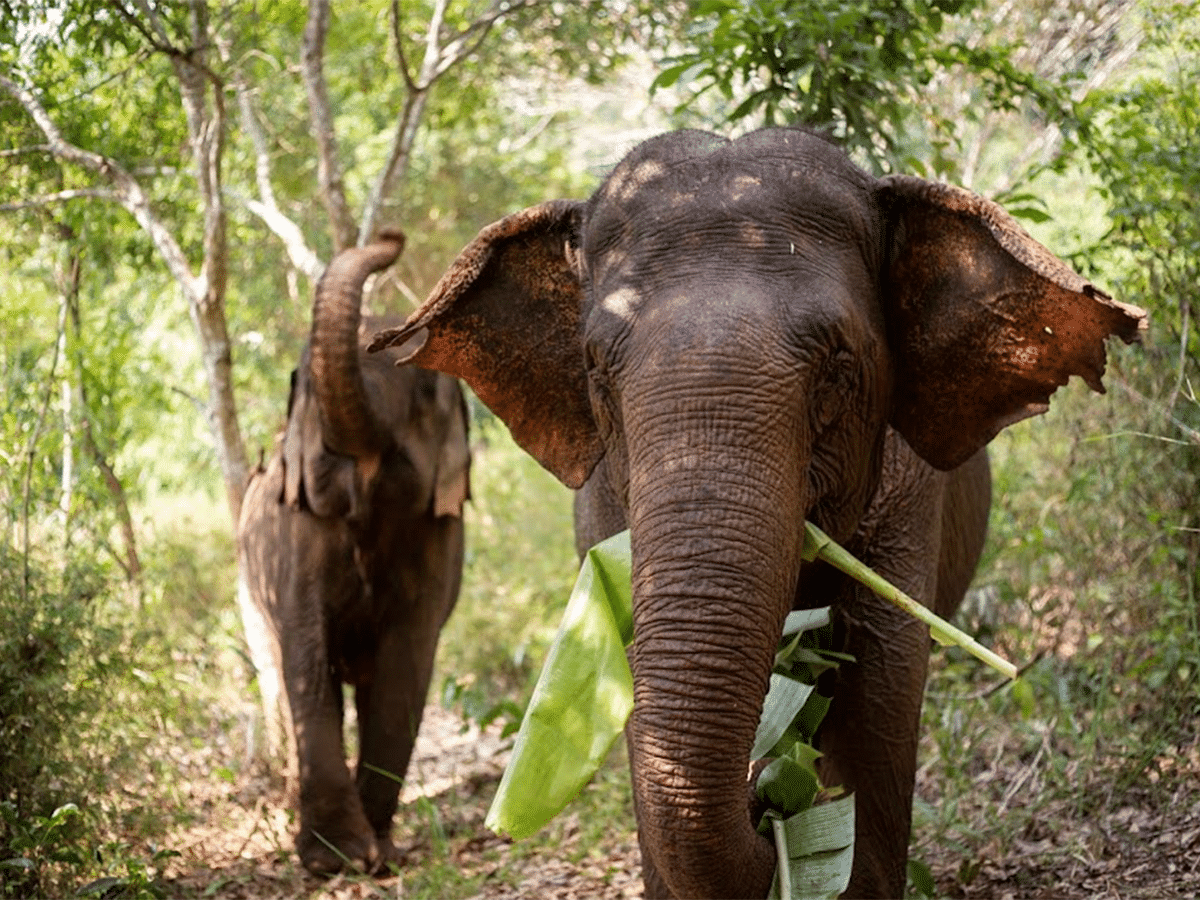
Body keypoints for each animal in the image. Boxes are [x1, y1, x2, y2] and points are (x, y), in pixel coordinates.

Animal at [236, 230, 470, 876]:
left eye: (423, 390)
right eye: (307, 391)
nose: (391, 236)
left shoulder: (437, 534)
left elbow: (405, 663)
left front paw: (378, 856)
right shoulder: (298, 533)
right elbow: (306, 650)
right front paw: (333, 860)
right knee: (278, 675)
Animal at [368, 128, 1146, 898]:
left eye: (838, 366)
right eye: (595, 373)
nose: (765, 804)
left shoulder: (908, 499)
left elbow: (879, 693)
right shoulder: (601, 501)